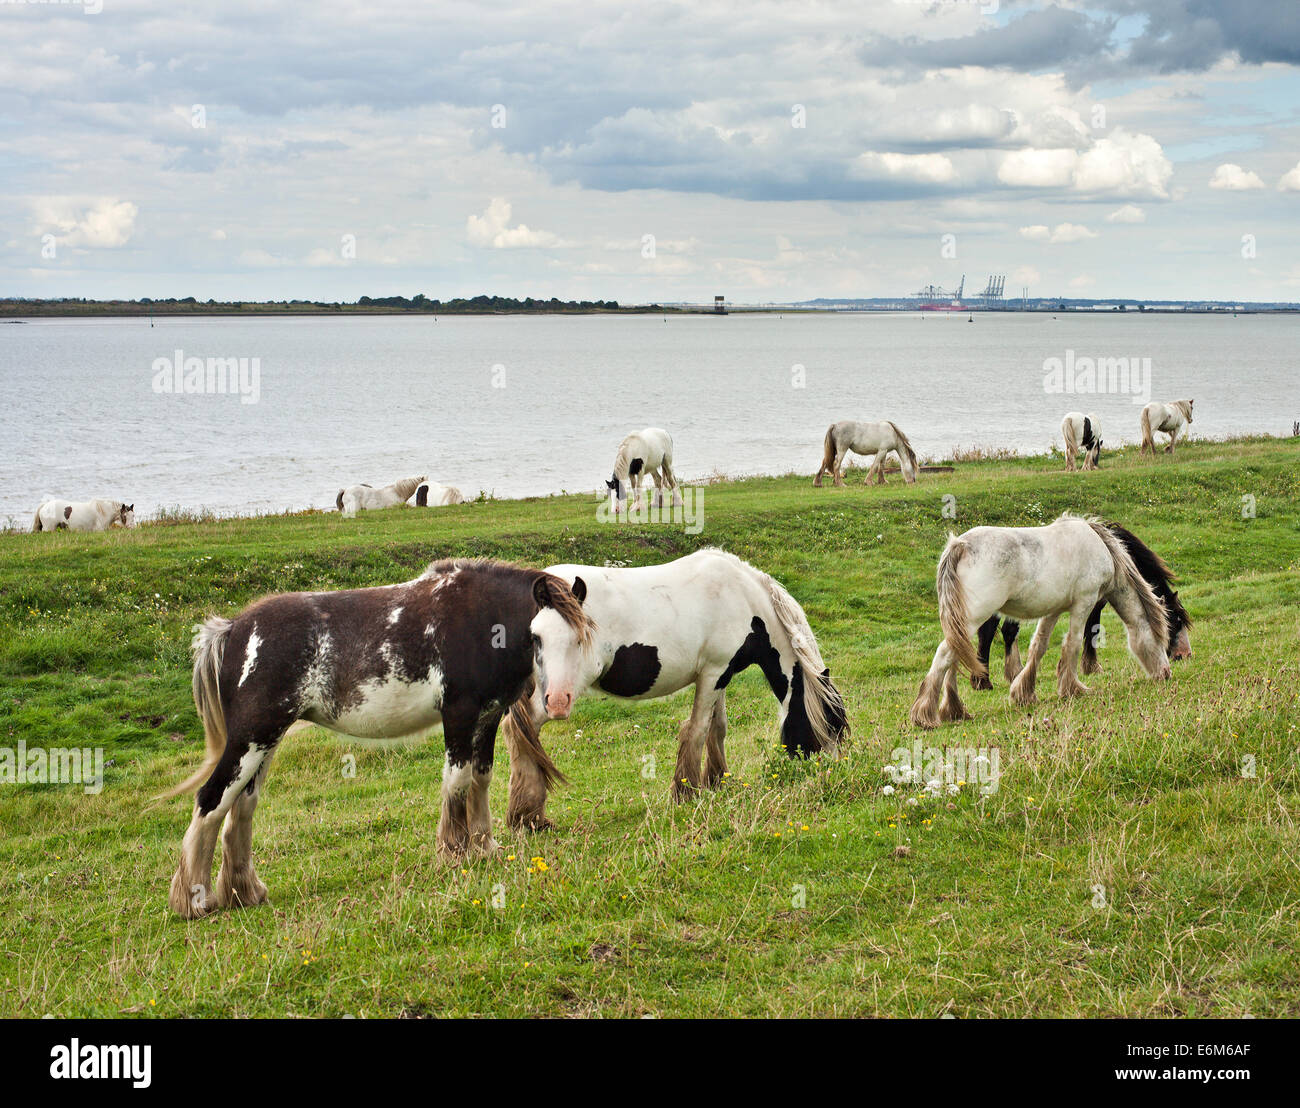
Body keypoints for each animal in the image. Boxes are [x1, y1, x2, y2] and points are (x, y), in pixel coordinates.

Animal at [156, 561, 595, 915]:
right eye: (537, 637)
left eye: (578, 639)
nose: (558, 701)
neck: (481, 619)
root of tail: (233, 631)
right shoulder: (459, 716)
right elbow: (457, 781)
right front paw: (455, 854)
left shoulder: (486, 719)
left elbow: (480, 782)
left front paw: (484, 847)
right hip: (250, 739)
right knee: (212, 800)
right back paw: (194, 901)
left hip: (265, 743)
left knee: (241, 808)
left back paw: (245, 892)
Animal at [499, 548, 852, 827]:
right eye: (830, 725)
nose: (829, 775)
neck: (742, 597)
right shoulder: (713, 673)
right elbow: (697, 729)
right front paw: (687, 791)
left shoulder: (720, 673)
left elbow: (717, 728)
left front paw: (717, 781)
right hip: (555, 696)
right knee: (520, 730)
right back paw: (527, 817)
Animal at [972, 522, 1190, 686]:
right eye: (1175, 622)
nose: (1184, 655)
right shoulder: (1093, 600)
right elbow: (1092, 630)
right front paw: (1091, 666)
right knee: (993, 632)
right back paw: (985, 681)